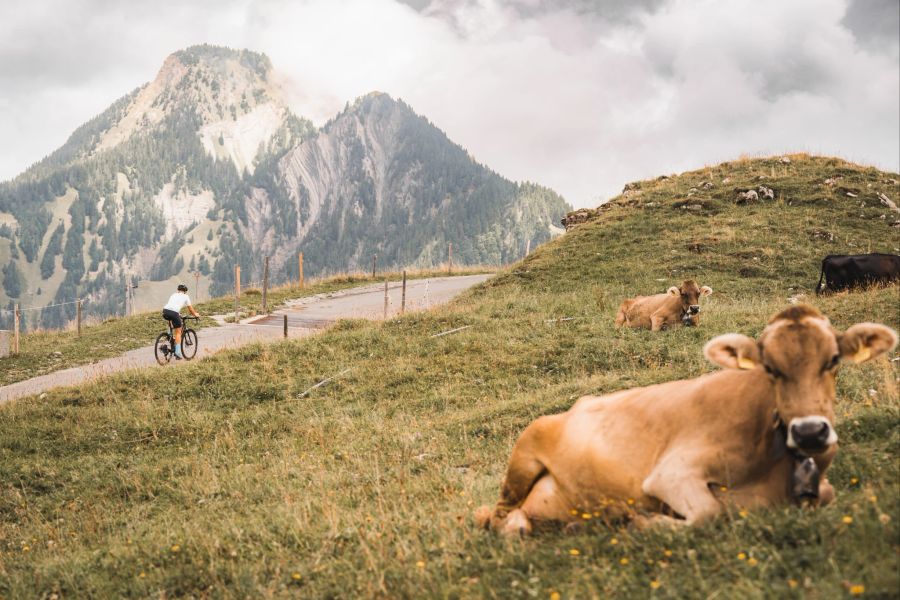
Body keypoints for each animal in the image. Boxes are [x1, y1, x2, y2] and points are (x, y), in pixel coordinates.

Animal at [474, 304, 896, 536]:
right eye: (770, 368)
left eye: (834, 360)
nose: (810, 431)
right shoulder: (671, 473)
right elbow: (710, 513)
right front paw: (638, 521)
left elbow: (827, 494)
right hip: (524, 453)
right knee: (498, 517)